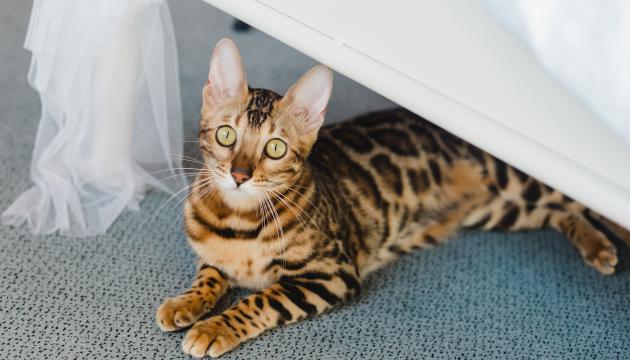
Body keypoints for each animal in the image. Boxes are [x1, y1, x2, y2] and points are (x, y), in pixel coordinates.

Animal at [157, 38, 630, 358]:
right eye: (226, 135)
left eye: (275, 148)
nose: (239, 175)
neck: (237, 218)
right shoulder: (213, 257)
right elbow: (209, 276)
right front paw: (186, 304)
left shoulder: (330, 274)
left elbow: (259, 298)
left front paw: (214, 329)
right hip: (499, 210)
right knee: (556, 211)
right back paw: (596, 246)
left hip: (512, 182)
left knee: (572, 200)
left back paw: (607, 242)